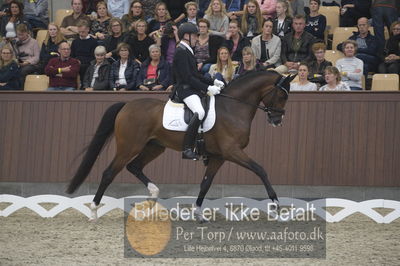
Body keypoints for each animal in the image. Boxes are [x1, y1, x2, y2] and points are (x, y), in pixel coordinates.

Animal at [67, 70, 296, 220]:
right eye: (281, 95)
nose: (277, 120)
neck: (233, 107)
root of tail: (126, 105)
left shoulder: (219, 156)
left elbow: (206, 183)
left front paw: (197, 212)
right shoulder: (232, 151)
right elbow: (260, 169)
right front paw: (275, 204)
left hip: (154, 147)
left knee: (134, 166)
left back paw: (152, 198)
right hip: (129, 146)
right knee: (109, 173)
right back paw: (94, 211)